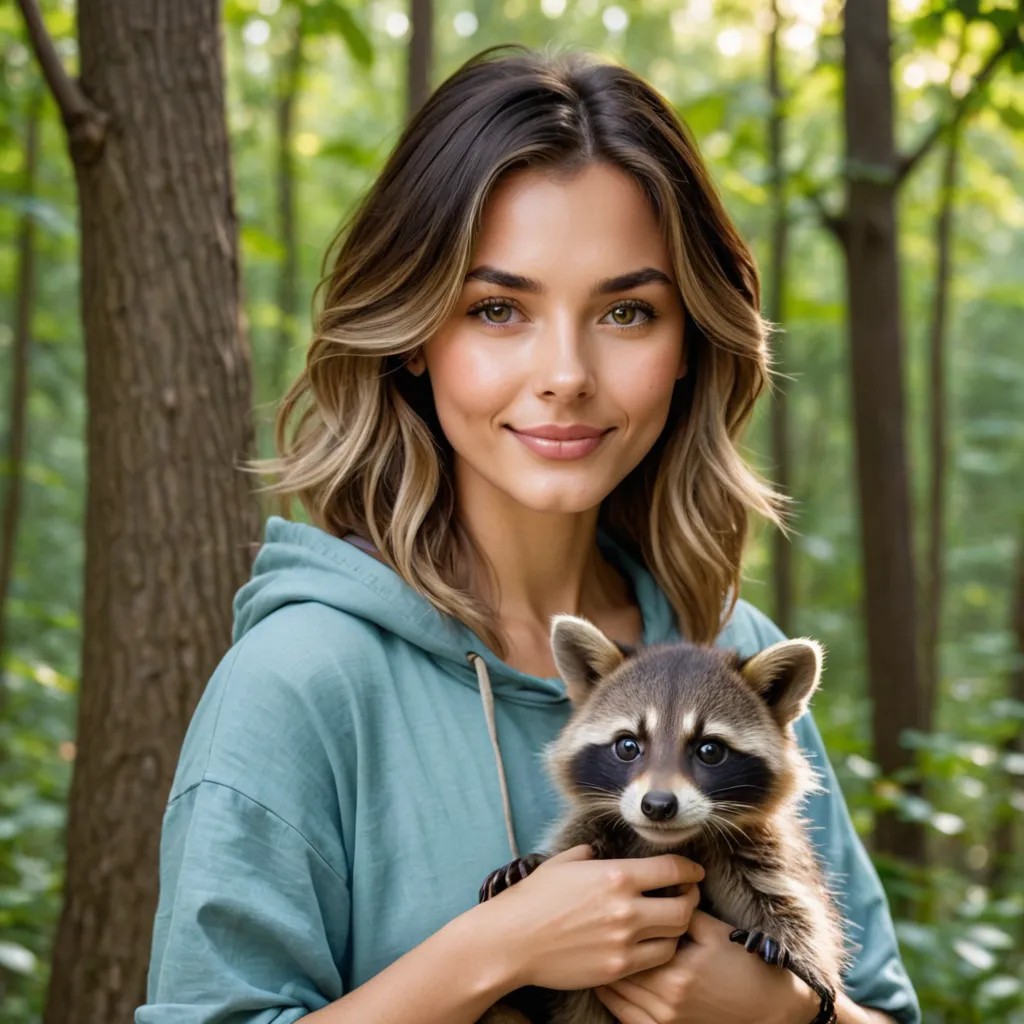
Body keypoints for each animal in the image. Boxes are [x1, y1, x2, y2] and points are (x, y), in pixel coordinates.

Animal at [478, 615, 846, 1024]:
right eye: (627, 745)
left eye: (709, 750)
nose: (657, 805)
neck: (666, 842)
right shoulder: (598, 827)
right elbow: (572, 839)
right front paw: (536, 859)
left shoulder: (760, 845)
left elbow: (792, 897)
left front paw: (801, 953)